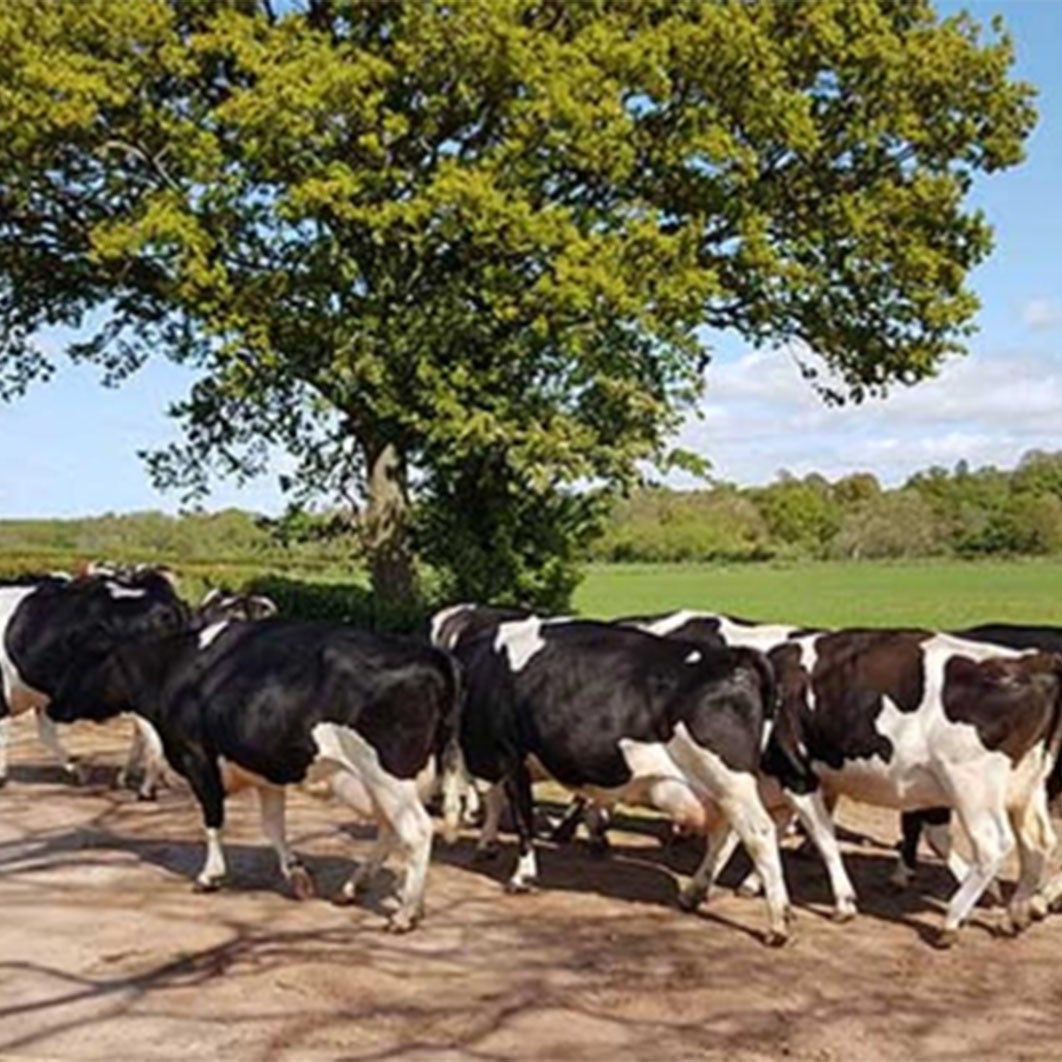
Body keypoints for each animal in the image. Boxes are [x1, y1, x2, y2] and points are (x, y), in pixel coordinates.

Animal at [0, 567, 190, 787]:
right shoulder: (40, 699)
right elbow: (46, 735)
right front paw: (77, 770)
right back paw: (133, 776)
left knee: (151, 736)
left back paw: (147, 784)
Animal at [47, 618, 460, 932]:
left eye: (84, 659)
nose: (53, 704)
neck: (173, 669)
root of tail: (430, 655)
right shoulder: (266, 770)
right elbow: (272, 826)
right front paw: (296, 874)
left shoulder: (197, 757)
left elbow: (212, 820)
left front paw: (210, 876)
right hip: (375, 782)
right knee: (390, 830)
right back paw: (356, 888)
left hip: (387, 775)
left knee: (416, 831)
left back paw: (404, 913)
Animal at [448, 615, 792, 945]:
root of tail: (733, 657)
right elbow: (496, 800)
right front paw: (487, 844)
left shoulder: (510, 755)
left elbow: (521, 817)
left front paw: (522, 876)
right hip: (717, 788)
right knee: (723, 832)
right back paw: (693, 893)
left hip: (728, 779)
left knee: (758, 832)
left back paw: (777, 925)